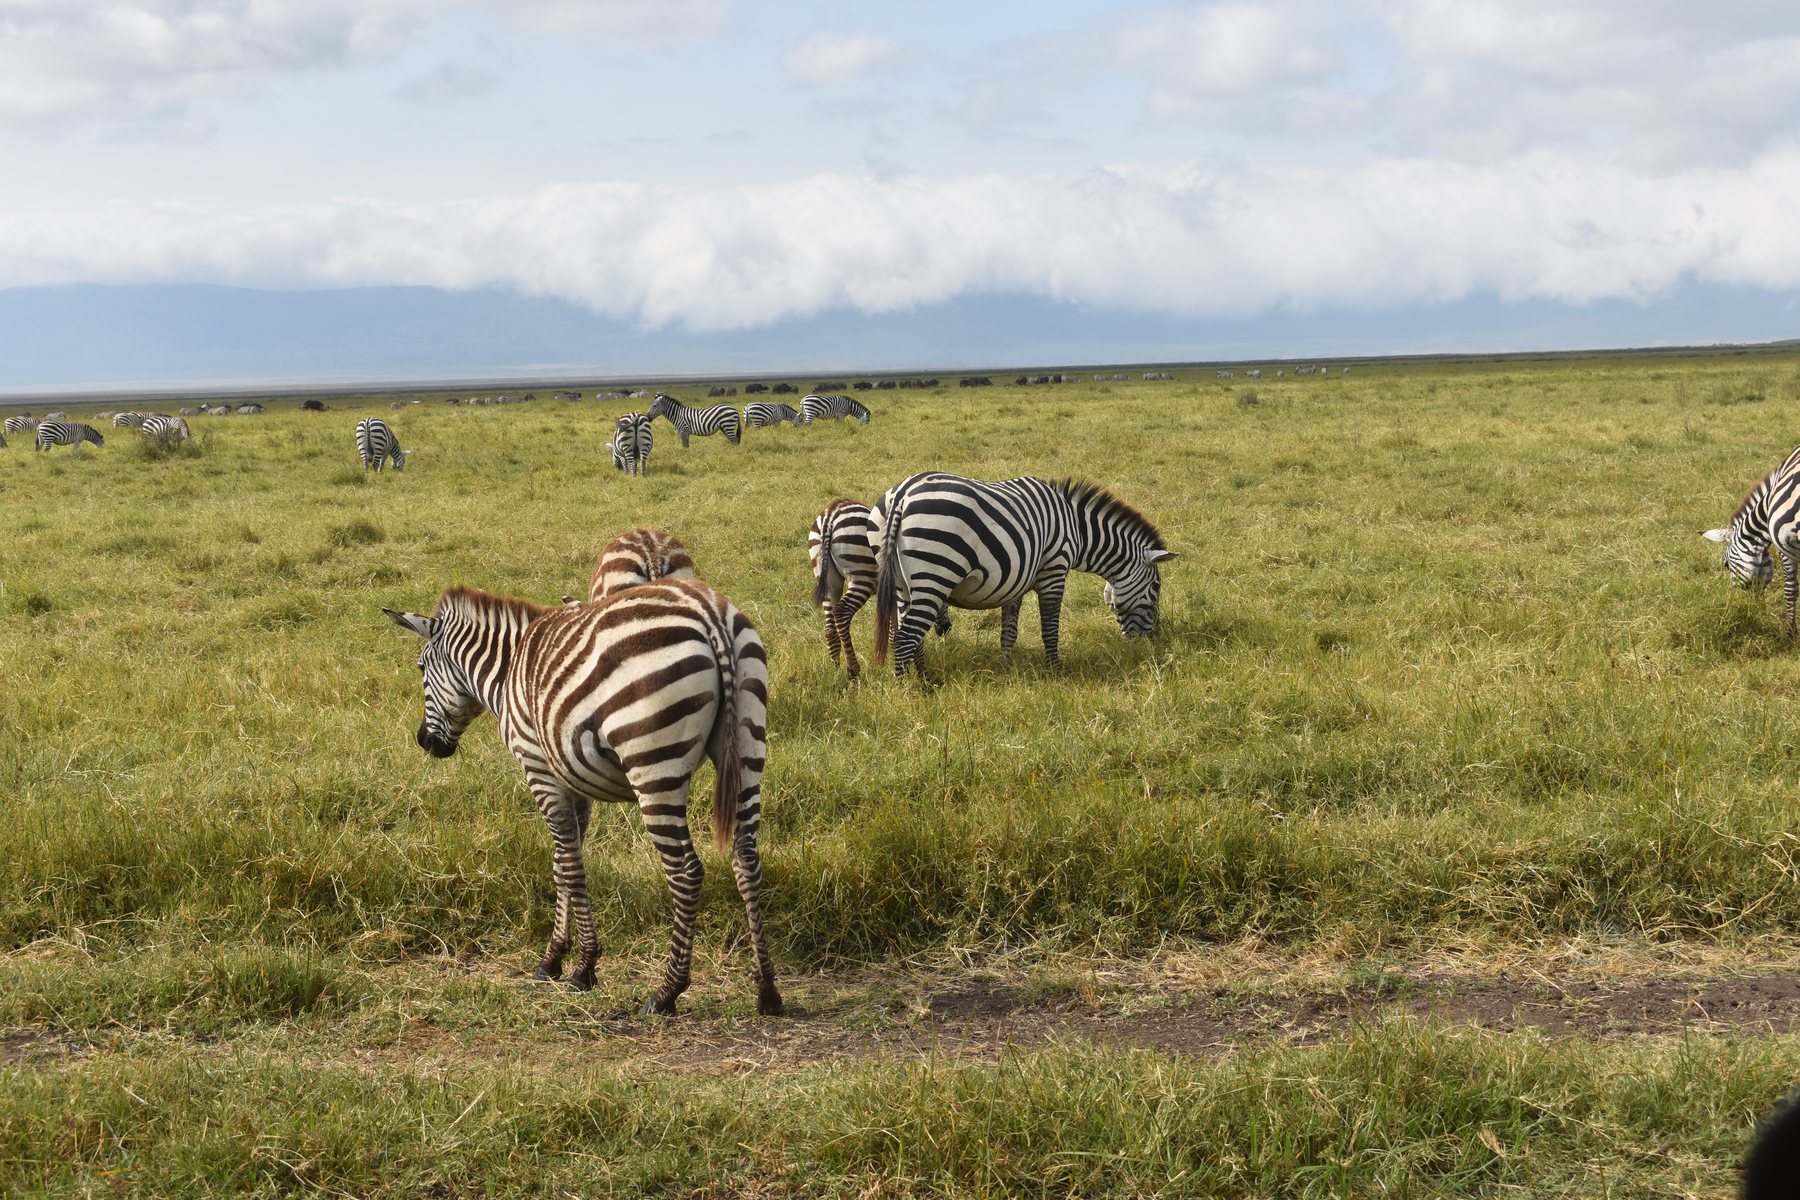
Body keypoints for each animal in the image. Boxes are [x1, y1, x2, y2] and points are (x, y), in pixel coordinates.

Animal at [383, 578, 781, 1016]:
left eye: (421, 669)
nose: (425, 742)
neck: (506, 671)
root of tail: (708, 612)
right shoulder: (572, 781)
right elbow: (563, 863)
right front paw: (554, 957)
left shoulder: (540, 770)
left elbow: (571, 868)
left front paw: (583, 967)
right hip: (747, 744)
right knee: (746, 860)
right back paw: (767, 990)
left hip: (652, 763)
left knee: (686, 872)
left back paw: (666, 992)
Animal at [809, 499, 948, 679]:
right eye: (945, 601)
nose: (945, 630)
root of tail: (831, 513)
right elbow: (897, 626)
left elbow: (893, 627)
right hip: (862, 576)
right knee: (842, 612)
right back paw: (853, 670)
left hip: (829, 581)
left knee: (829, 627)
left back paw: (836, 669)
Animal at [871, 473, 1174, 679]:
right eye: (1156, 588)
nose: (1151, 640)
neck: (1077, 529)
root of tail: (902, 495)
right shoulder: (1054, 571)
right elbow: (1050, 629)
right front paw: (1055, 671)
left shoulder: (1013, 583)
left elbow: (1009, 631)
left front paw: (1004, 668)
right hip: (934, 577)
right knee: (905, 637)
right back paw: (908, 692)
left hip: (902, 584)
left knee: (907, 634)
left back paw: (924, 680)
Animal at [1703, 444, 1800, 632]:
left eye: (1726, 565)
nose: (1751, 602)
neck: (1766, 507)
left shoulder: (1785, 546)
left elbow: (1790, 588)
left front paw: (1790, 631)